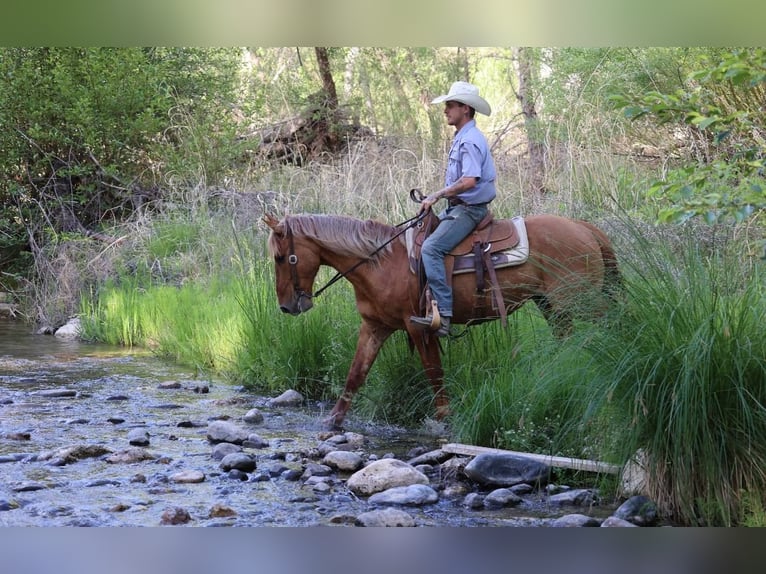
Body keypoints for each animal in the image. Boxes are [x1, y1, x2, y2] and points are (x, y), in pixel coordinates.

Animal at [264, 211, 621, 429]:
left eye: (280, 258)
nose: (286, 307)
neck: (380, 263)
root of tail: (584, 228)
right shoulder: (375, 327)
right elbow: (356, 374)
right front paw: (334, 421)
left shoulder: (418, 327)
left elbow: (434, 373)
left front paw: (444, 417)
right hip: (554, 307)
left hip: (580, 301)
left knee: (609, 327)